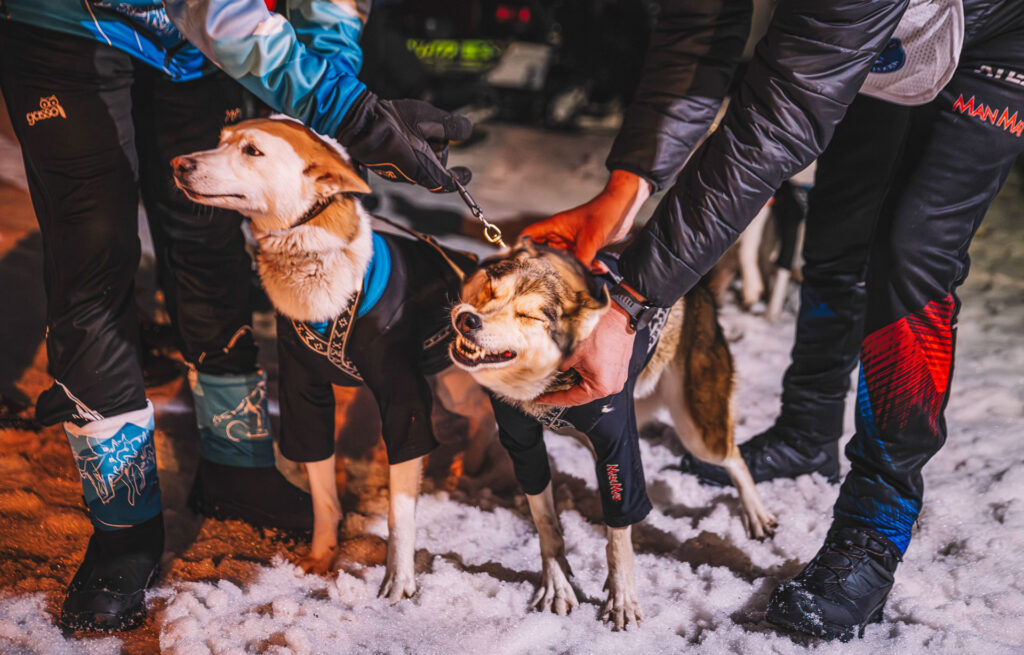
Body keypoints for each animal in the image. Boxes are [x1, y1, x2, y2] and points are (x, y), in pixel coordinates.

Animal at [174, 118, 493, 605]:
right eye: (220, 139)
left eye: (252, 150)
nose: (178, 163)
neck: (312, 264)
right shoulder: (304, 394)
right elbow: (323, 492)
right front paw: (322, 555)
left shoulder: (403, 399)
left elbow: (401, 512)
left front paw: (399, 578)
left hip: (454, 381)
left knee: (483, 415)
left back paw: (472, 467)